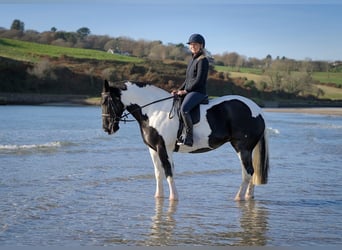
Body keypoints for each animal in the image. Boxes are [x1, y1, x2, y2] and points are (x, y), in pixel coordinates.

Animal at [101, 80, 270, 201]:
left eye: (107, 102)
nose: (107, 128)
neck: (154, 111)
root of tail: (257, 109)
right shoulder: (153, 149)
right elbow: (158, 172)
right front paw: (158, 196)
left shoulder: (164, 148)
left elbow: (169, 171)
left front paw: (173, 198)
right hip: (247, 149)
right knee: (251, 172)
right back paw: (248, 196)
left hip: (242, 147)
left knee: (247, 172)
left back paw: (238, 198)